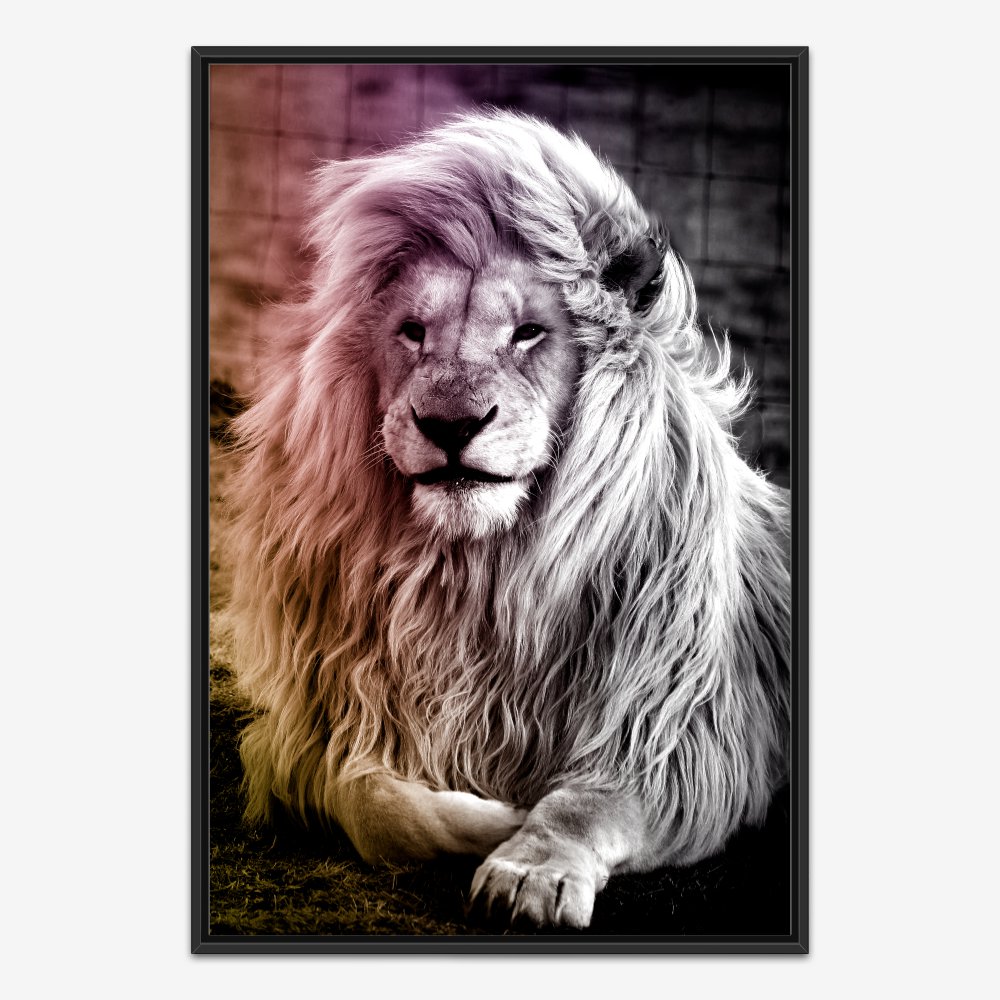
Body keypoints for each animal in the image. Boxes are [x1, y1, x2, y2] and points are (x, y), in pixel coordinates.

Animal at [225, 110, 791, 930]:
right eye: (413, 331)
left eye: (528, 332)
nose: (450, 423)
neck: (477, 575)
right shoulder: (323, 730)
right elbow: (373, 801)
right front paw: (492, 820)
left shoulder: (682, 739)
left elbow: (583, 804)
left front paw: (530, 868)